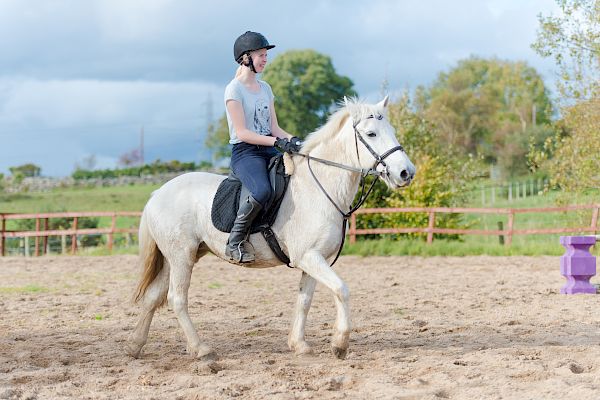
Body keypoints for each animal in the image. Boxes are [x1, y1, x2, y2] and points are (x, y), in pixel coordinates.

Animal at [125, 96, 418, 360]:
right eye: (371, 133)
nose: (406, 173)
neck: (319, 188)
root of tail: (157, 193)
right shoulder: (309, 257)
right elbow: (341, 289)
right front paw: (340, 344)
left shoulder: (315, 259)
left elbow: (304, 300)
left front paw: (299, 345)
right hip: (181, 256)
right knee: (177, 298)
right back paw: (201, 350)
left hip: (178, 257)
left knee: (153, 297)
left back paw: (136, 346)